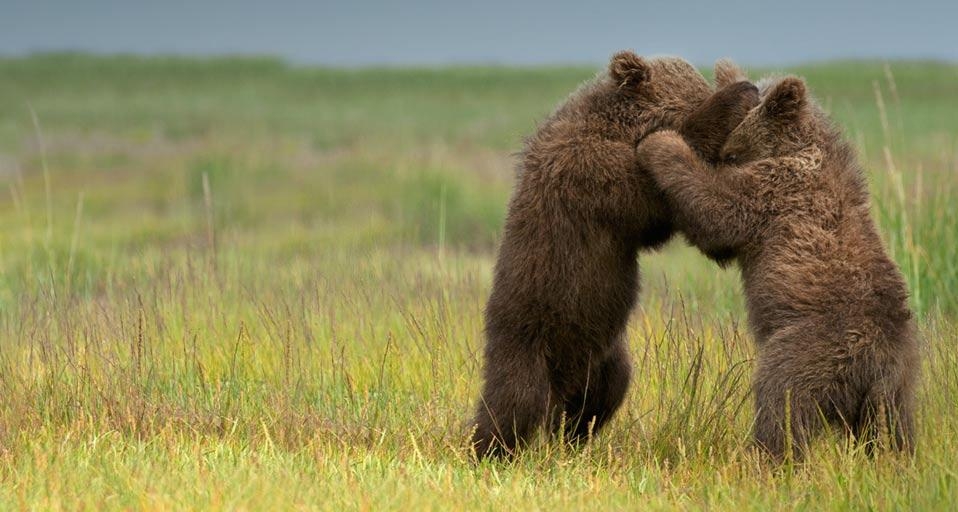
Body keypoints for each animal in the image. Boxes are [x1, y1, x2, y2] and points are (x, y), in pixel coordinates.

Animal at [471, 51, 761, 459]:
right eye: (696, 93)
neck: (616, 126)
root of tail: (564, 379)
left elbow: (651, 224)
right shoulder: (590, 168)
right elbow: (643, 194)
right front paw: (737, 96)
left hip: (606, 355)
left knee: (602, 397)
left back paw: (574, 439)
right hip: (527, 338)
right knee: (514, 403)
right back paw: (486, 450)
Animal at [635, 67, 920, 461]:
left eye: (732, 152)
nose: (721, 156)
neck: (799, 148)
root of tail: (877, 358)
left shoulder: (777, 192)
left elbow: (719, 210)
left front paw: (660, 143)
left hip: (811, 345)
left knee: (780, 398)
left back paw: (765, 457)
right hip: (897, 386)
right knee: (892, 430)